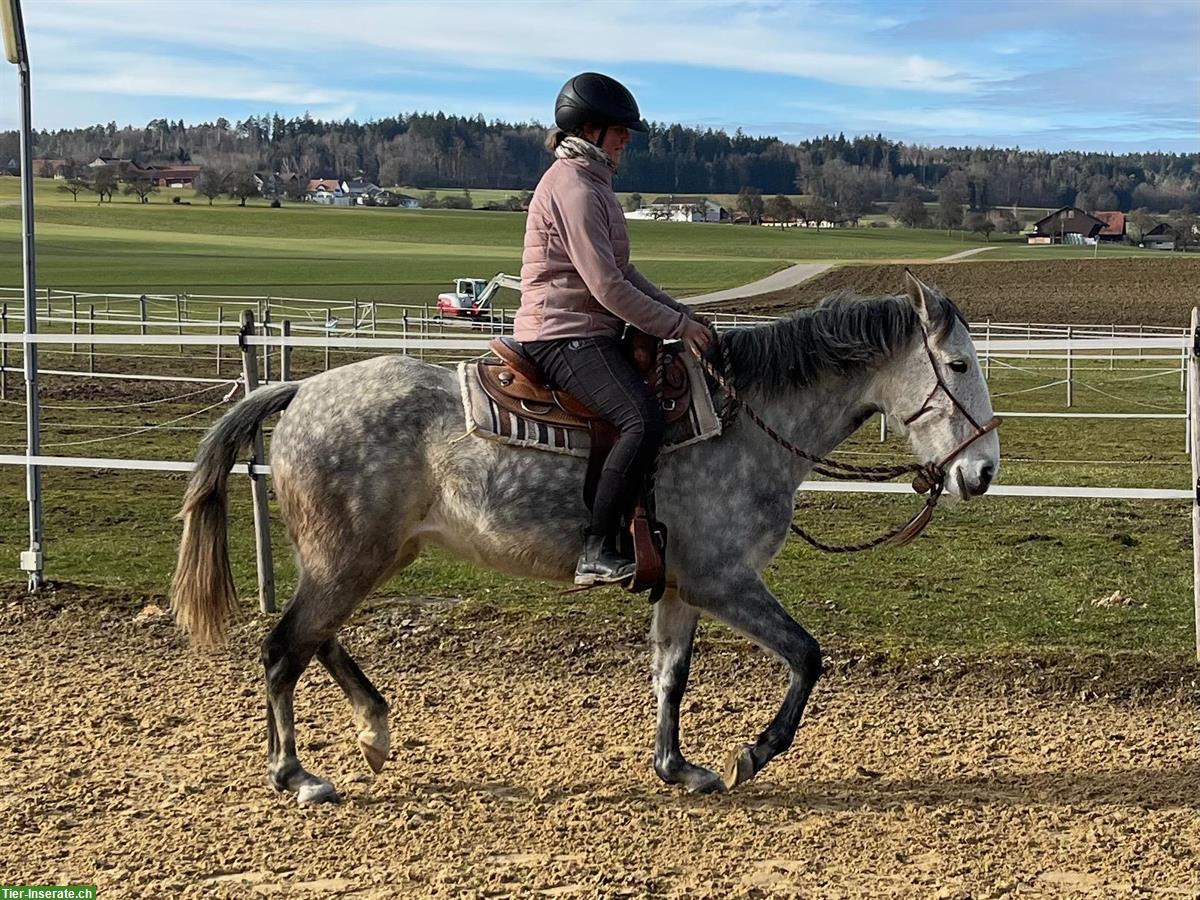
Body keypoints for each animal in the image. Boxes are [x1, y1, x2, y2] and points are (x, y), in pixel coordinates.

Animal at [166, 271, 993, 806]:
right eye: (956, 364)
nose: (982, 472)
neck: (746, 423)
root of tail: (303, 389)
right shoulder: (725, 580)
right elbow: (807, 655)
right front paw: (754, 753)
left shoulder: (685, 587)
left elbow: (670, 676)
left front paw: (678, 768)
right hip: (348, 559)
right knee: (285, 647)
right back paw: (297, 775)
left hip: (368, 555)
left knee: (316, 638)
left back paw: (373, 731)